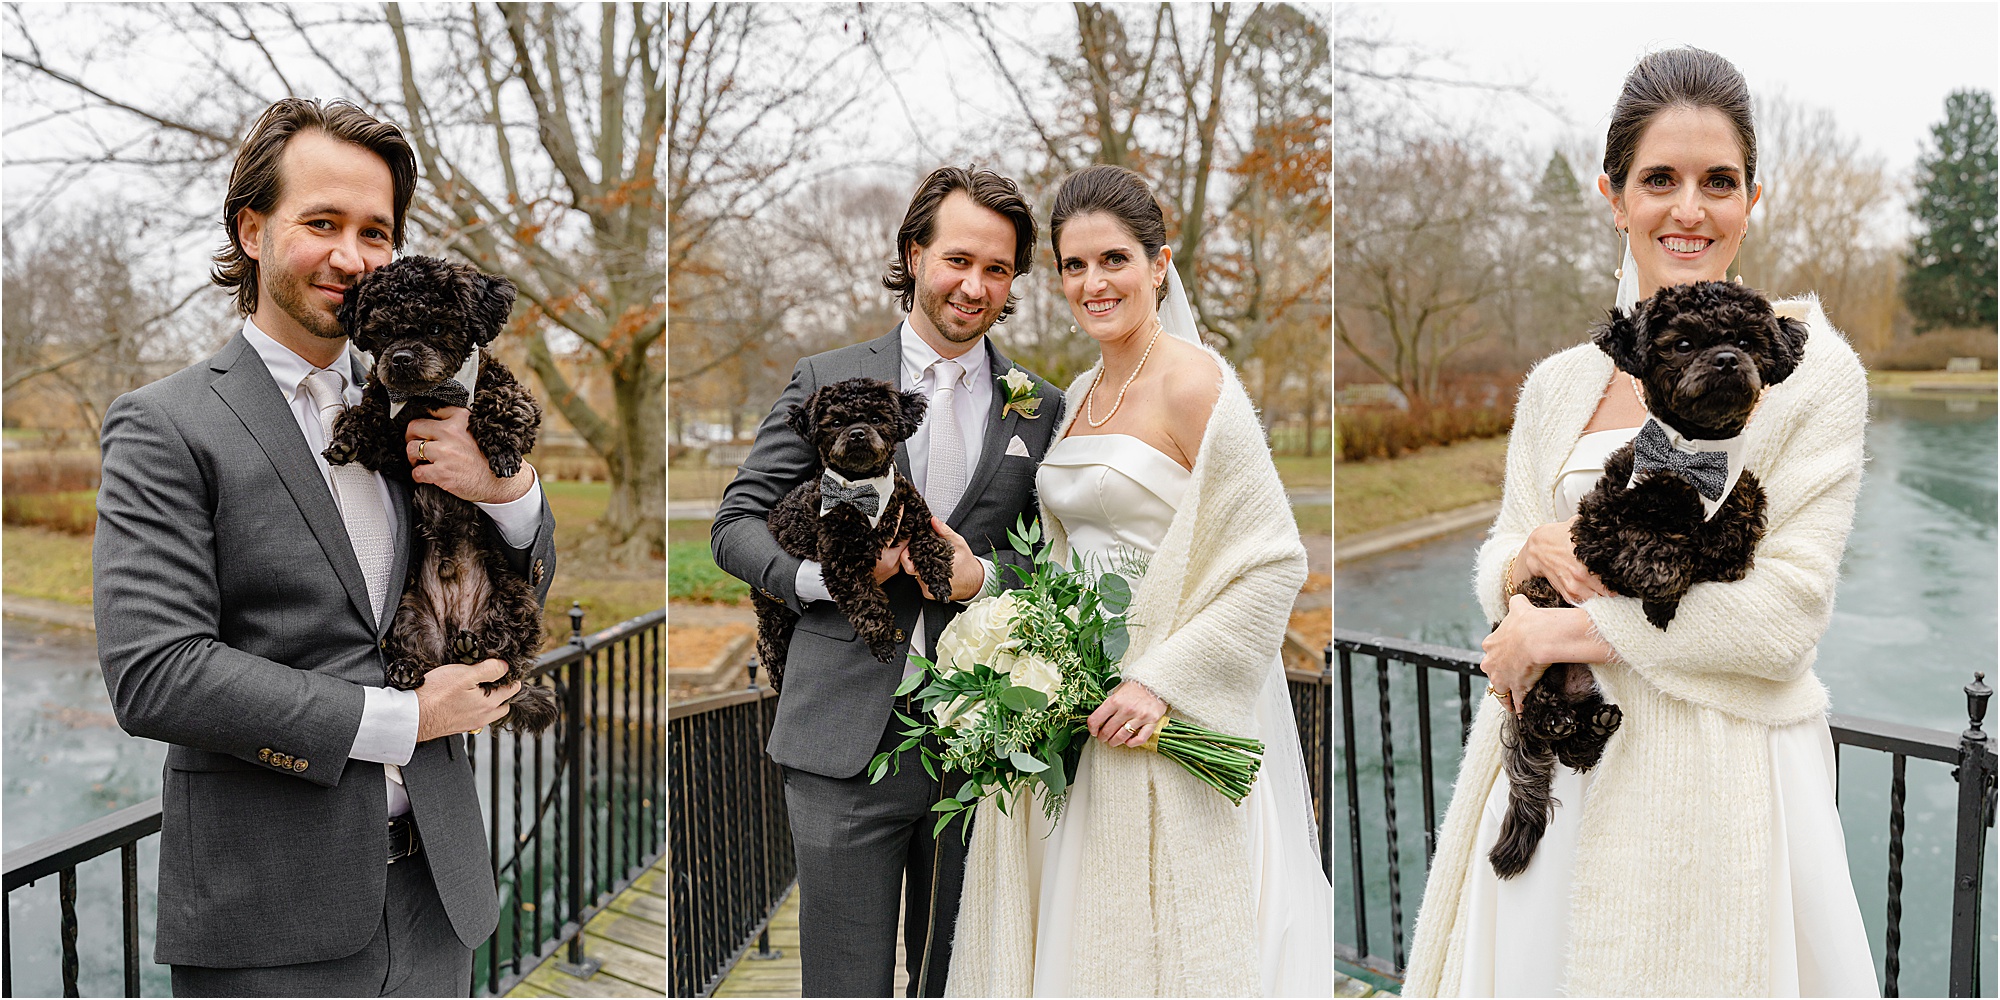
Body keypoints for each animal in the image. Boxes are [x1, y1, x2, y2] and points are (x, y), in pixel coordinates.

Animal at [322, 256, 560, 736]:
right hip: (409, 613)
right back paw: (409, 669)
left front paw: (501, 450)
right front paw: (345, 439)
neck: (427, 397)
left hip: (517, 600)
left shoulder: (510, 393)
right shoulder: (396, 448)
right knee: (425, 662)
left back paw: (476, 653)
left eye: (434, 327)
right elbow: (369, 412)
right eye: (382, 332)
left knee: (503, 665)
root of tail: (454, 635)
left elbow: (502, 401)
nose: (400, 358)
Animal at [756, 378, 960, 692]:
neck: (863, 490)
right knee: (769, 646)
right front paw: (883, 643)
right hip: (774, 615)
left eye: (876, 418)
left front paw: (938, 582)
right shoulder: (843, 564)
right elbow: (867, 604)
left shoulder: (920, 521)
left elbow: (931, 547)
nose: (857, 434)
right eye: (836, 422)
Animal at [1488, 280, 1816, 876]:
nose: (1727, 359)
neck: (1692, 457)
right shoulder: (1595, 526)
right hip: (1536, 636)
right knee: (1540, 719)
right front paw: (1663, 588)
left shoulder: (1740, 511)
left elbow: (1728, 540)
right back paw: (1557, 719)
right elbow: (1652, 546)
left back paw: (1592, 726)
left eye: (1744, 339)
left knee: (1577, 746)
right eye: (1683, 343)